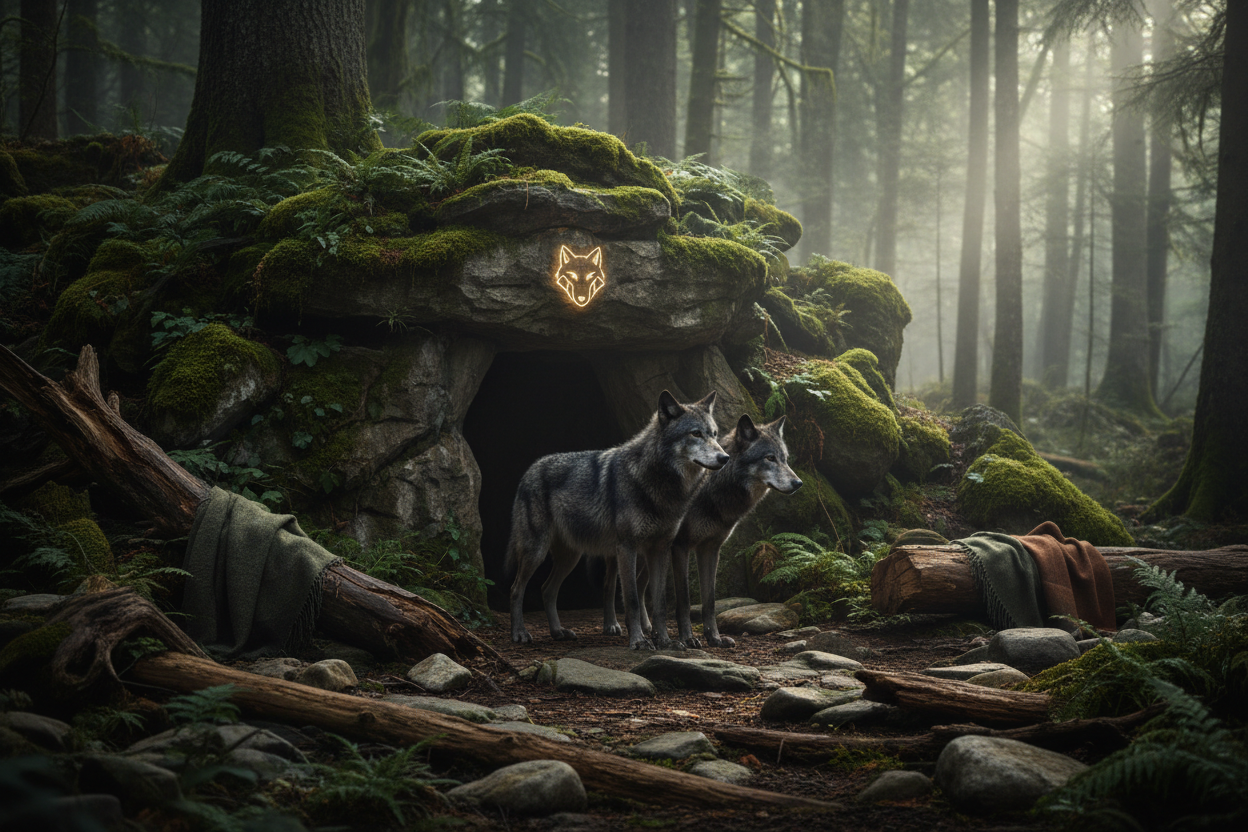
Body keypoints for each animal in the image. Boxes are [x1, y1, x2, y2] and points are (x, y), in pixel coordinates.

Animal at [506, 390, 729, 649]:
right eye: (695, 433)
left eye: (714, 434)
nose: (725, 457)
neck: (660, 485)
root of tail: (529, 470)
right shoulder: (627, 547)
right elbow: (632, 599)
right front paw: (639, 641)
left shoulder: (660, 549)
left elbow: (660, 603)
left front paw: (665, 641)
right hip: (536, 552)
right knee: (516, 589)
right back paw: (519, 633)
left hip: (570, 557)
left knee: (546, 590)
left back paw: (558, 632)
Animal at [602, 413, 802, 648]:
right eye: (769, 458)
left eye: (785, 459)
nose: (798, 483)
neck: (714, 491)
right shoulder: (680, 547)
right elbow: (685, 599)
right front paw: (688, 638)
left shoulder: (710, 549)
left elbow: (710, 600)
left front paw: (714, 638)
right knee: (610, 584)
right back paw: (613, 626)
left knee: (641, 586)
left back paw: (647, 629)